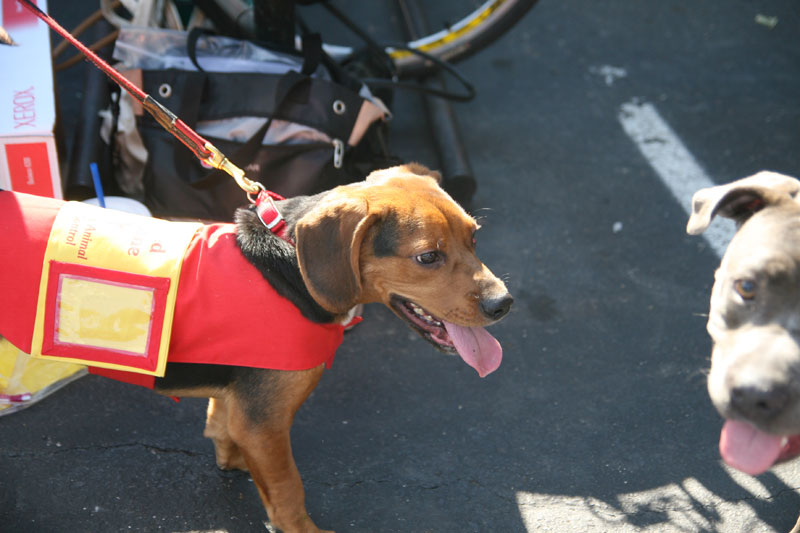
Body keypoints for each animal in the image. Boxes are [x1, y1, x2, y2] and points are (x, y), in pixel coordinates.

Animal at [0, 163, 512, 532]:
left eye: (475, 236)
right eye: (428, 257)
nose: (503, 304)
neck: (292, 269)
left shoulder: (243, 413)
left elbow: (224, 431)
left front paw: (233, 461)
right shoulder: (266, 423)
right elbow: (288, 491)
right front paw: (302, 529)